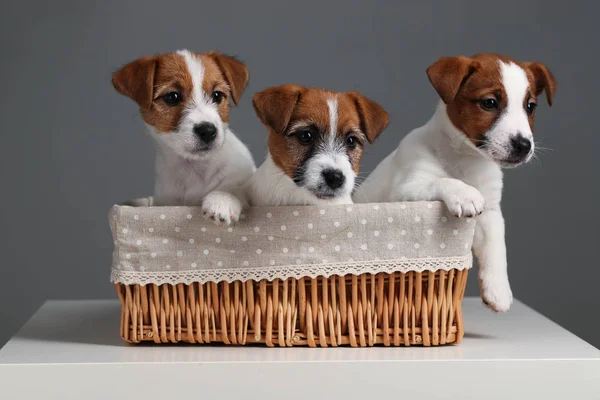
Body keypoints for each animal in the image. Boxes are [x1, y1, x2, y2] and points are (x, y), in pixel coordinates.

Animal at [112, 49, 255, 225]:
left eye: (217, 95)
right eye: (172, 97)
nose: (207, 130)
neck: (194, 168)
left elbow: (233, 187)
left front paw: (222, 200)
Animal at [356, 54, 556, 312]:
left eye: (530, 107)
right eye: (490, 103)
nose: (523, 146)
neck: (467, 159)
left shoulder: (491, 213)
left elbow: (497, 248)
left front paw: (498, 290)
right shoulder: (406, 188)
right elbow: (443, 179)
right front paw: (465, 194)